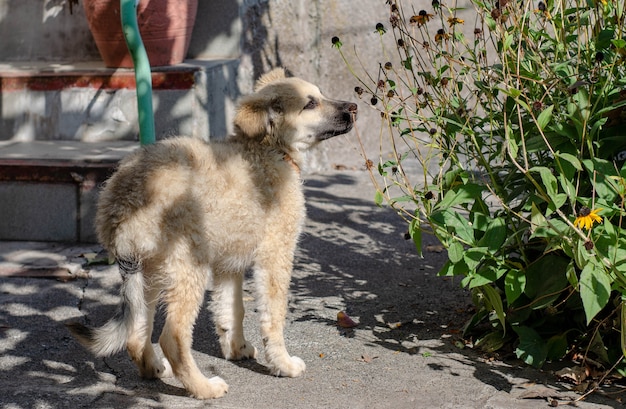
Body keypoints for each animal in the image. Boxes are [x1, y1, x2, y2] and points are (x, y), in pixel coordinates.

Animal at [67, 68, 356, 396]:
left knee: (136, 334)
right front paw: (283, 365)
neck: (268, 150)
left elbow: (232, 310)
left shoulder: (228, 265)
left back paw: (154, 370)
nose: (354, 108)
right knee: (172, 337)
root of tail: (124, 199)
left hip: (150, 274)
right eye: (310, 104)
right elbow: (274, 316)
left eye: (320, 95)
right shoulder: (275, 256)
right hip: (188, 269)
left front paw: (237, 348)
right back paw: (204, 388)